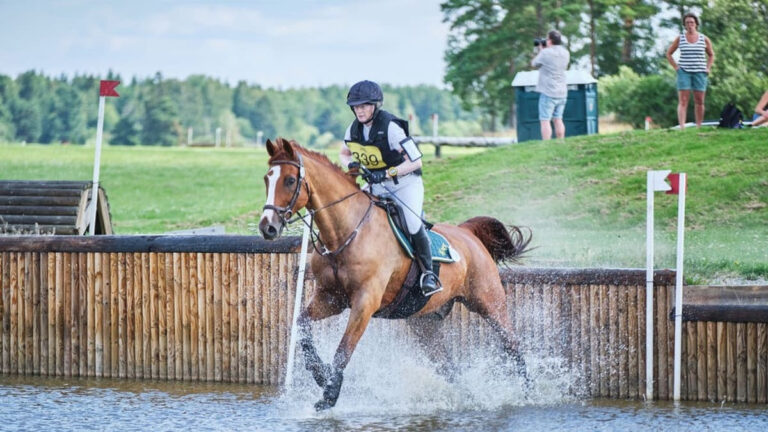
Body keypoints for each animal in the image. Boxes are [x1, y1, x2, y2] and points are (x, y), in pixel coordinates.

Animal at [260, 137, 532, 410]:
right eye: (266, 178)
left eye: (290, 180)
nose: (267, 227)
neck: (346, 232)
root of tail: (467, 232)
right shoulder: (331, 299)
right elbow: (302, 325)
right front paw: (320, 373)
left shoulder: (365, 303)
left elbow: (344, 348)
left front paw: (329, 393)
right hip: (425, 322)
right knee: (448, 366)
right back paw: (466, 398)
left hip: (489, 303)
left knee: (512, 345)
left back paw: (528, 393)